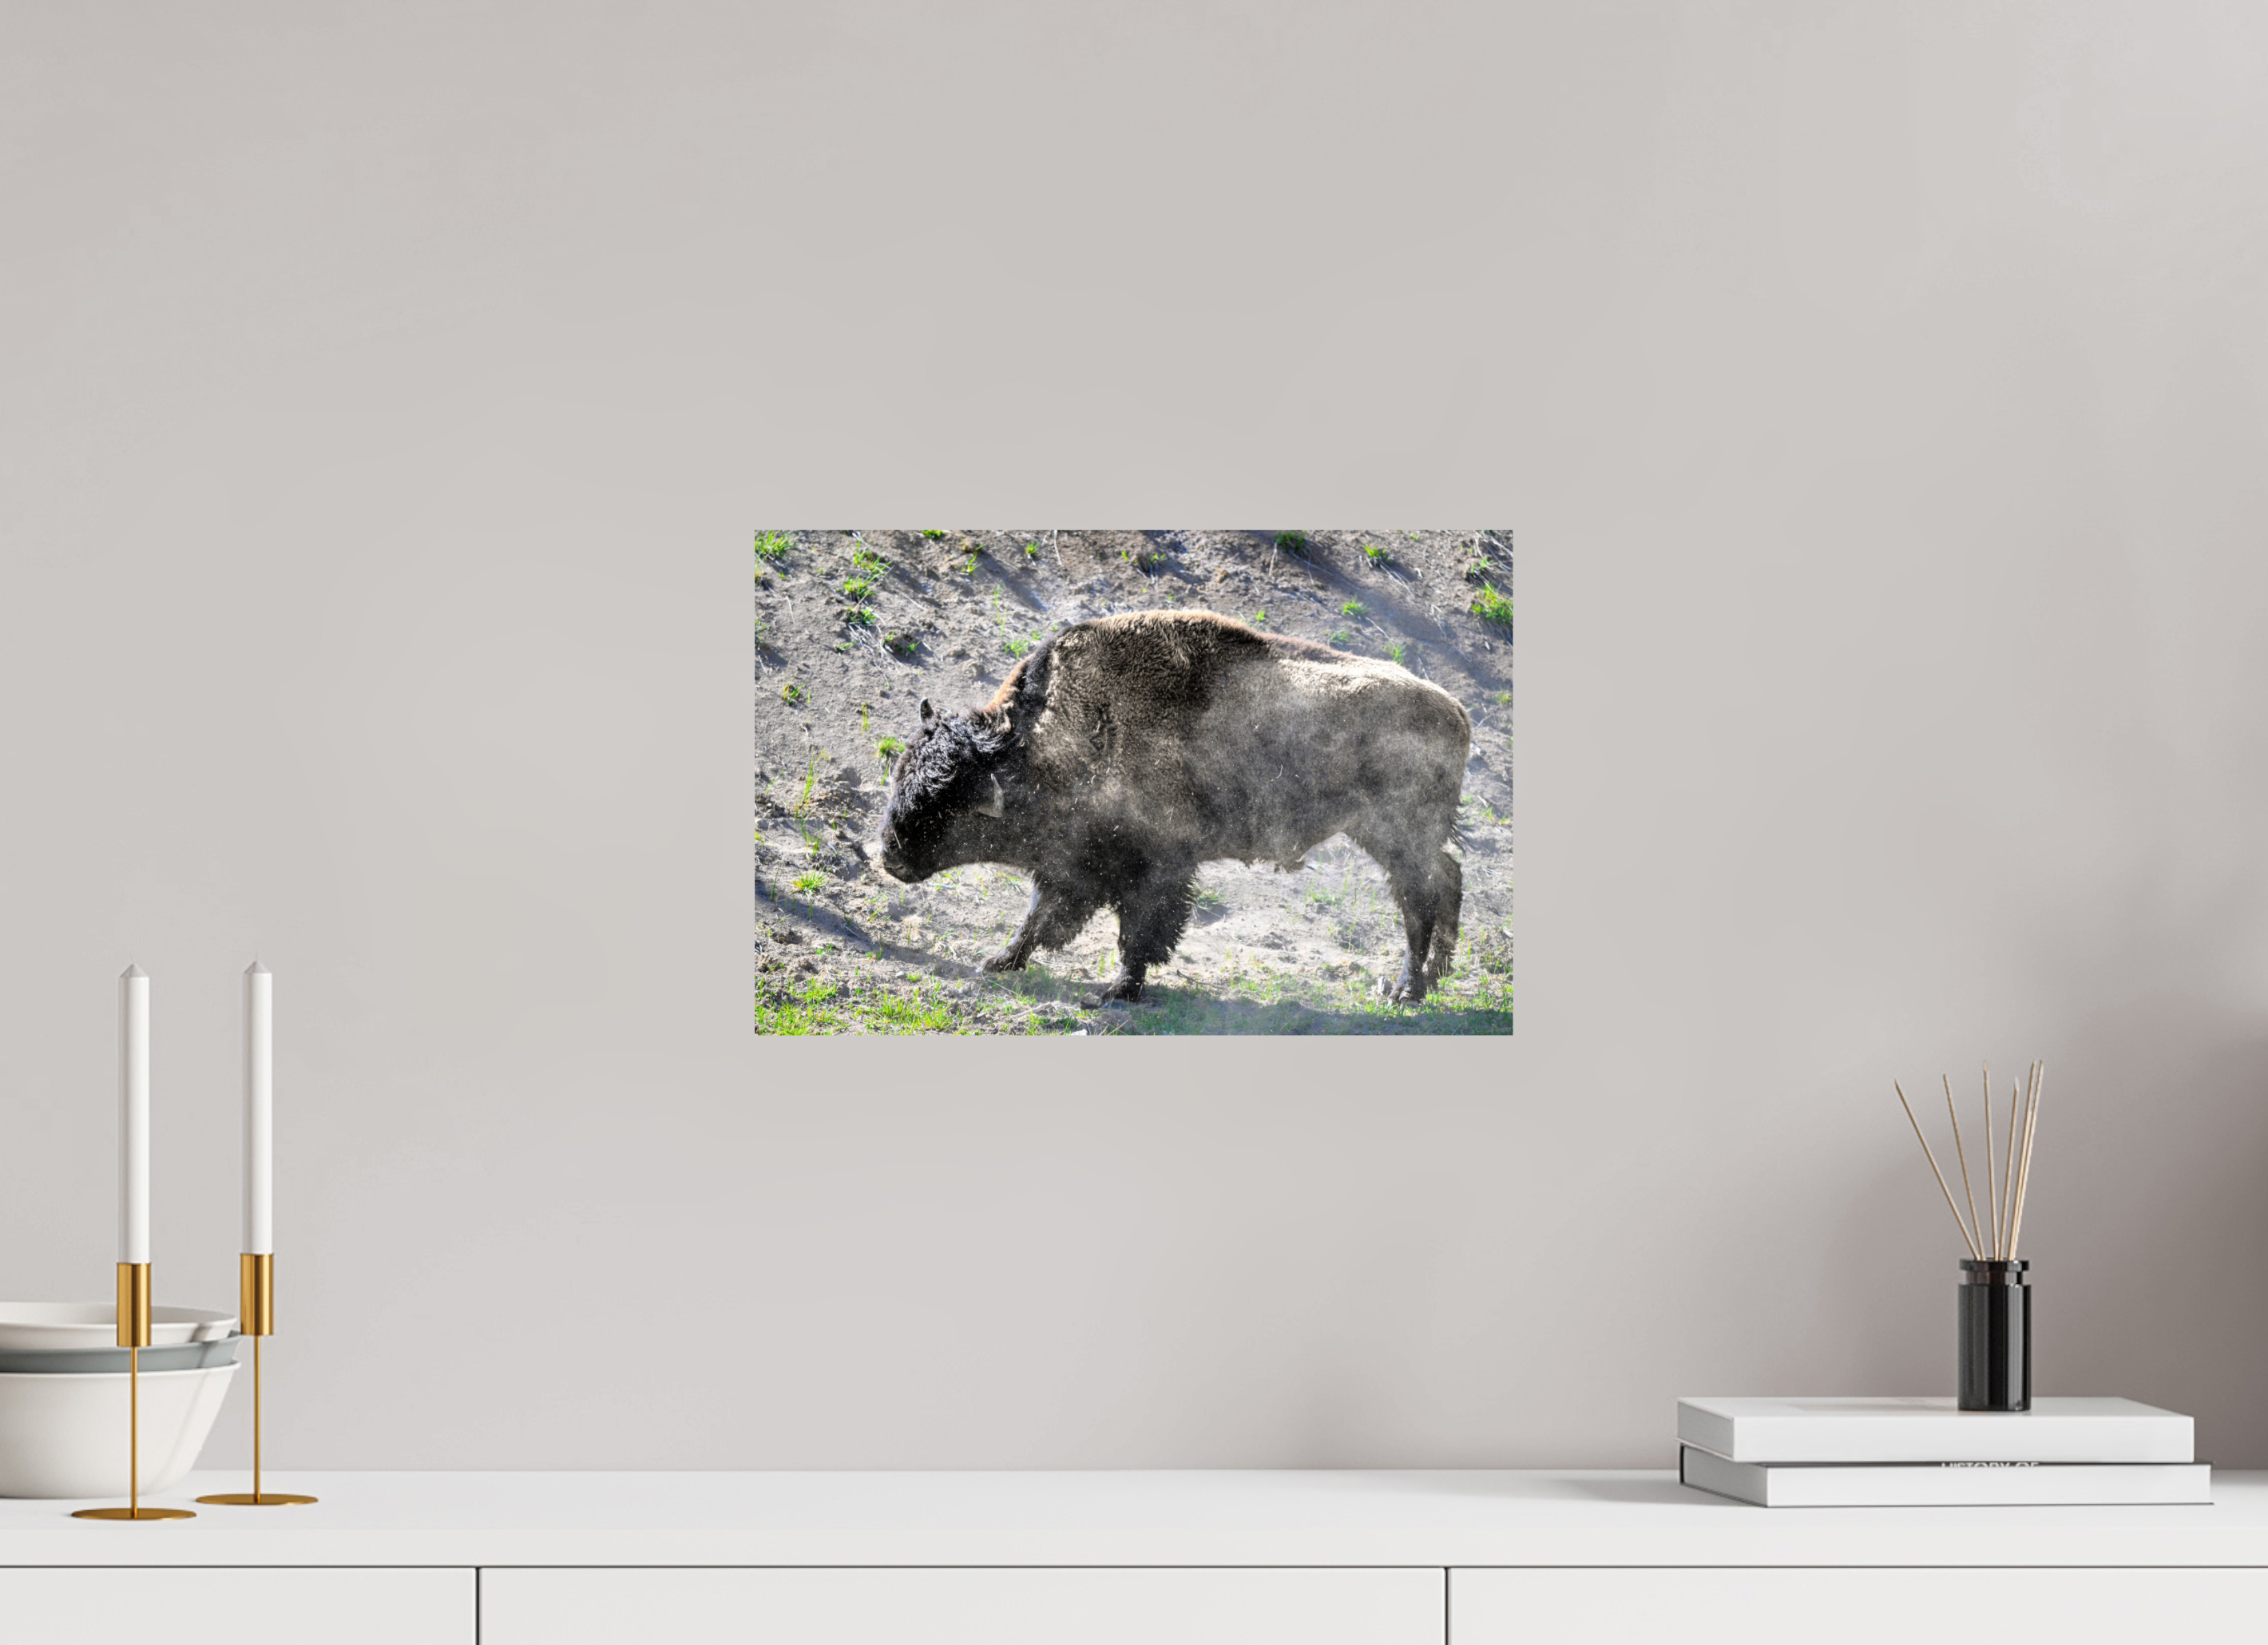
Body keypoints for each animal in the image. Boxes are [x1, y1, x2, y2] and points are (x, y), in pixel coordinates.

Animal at [877, 611, 1472, 1003]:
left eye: (944, 803)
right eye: (903, 775)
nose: (889, 855)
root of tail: (1457, 711)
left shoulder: (1154, 869)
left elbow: (1139, 933)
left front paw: (1120, 991)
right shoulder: (1075, 867)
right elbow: (1042, 920)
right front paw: (999, 962)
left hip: (1396, 835)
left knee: (1421, 897)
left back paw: (1406, 990)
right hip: (1393, 836)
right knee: (1444, 881)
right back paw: (1434, 976)